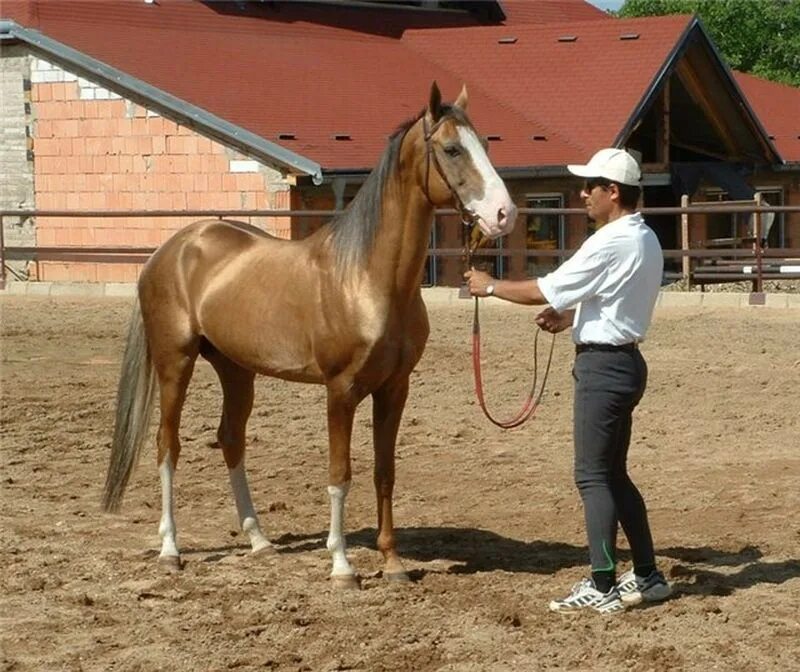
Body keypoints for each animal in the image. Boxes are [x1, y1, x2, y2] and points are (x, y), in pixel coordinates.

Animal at [100, 82, 520, 588]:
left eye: (486, 145)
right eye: (453, 149)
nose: (504, 214)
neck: (367, 278)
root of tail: (170, 249)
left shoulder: (394, 389)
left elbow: (384, 472)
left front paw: (393, 563)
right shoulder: (341, 390)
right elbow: (340, 474)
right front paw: (342, 566)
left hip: (236, 370)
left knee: (231, 439)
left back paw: (259, 541)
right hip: (174, 363)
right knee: (168, 446)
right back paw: (170, 550)